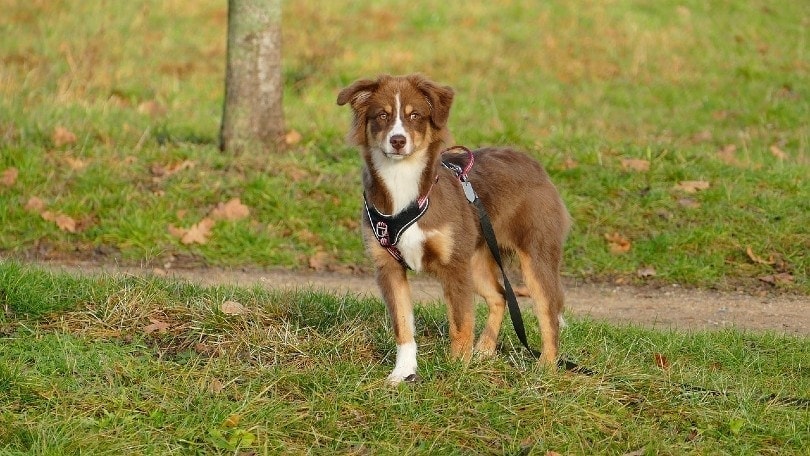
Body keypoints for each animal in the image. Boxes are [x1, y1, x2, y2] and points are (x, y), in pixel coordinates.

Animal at [334, 75, 568, 384]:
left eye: (415, 116)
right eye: (382, 115)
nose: (398, 141)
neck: (402, 181)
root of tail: (533, 163)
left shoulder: (454, 266)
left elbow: (460, 323)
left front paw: (457, 369)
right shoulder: (388, 267)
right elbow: (403, 327)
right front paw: (403, 373)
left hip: (535, 257)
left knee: (548, 310)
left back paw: (546, 368)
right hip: (477, 258)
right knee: (500, 296)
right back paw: (484, 350)